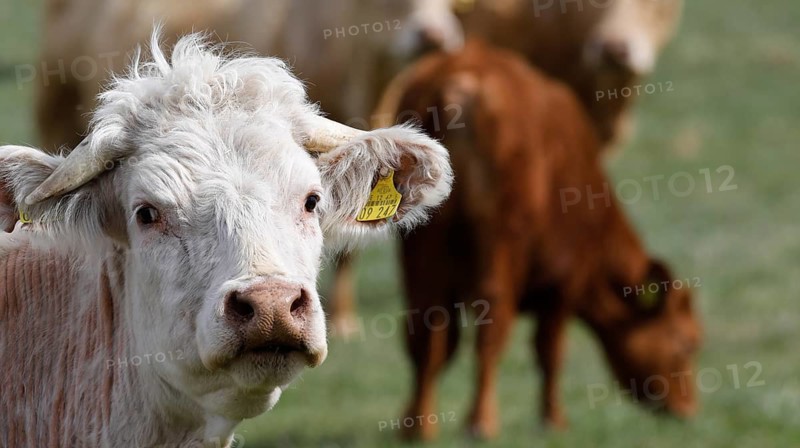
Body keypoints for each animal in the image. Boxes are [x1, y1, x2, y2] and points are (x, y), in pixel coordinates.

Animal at [376, 41, 700, 440]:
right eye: (688, 344)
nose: (689, 411)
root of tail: (464, 77)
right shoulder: (565, 283)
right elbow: (551, 351)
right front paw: (554, 420)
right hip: (500, 246)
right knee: (490, 333)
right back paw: (481, 422)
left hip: (420, 251)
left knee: (424, 333)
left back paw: (418, 427)